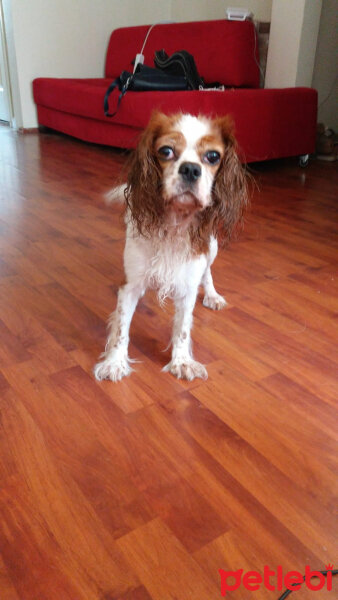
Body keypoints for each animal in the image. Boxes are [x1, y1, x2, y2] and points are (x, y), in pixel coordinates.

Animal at [93, 112, 247, 382]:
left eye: (213, 156)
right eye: (166, 151)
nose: (191, 169)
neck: (174, 224)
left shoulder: (188, 285)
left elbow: (182, 328)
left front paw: (181, 361)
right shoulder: (130, 284)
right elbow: (122, 327)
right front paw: (115, 362)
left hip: (212, 247)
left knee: (207, 273)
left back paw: (212, 295)